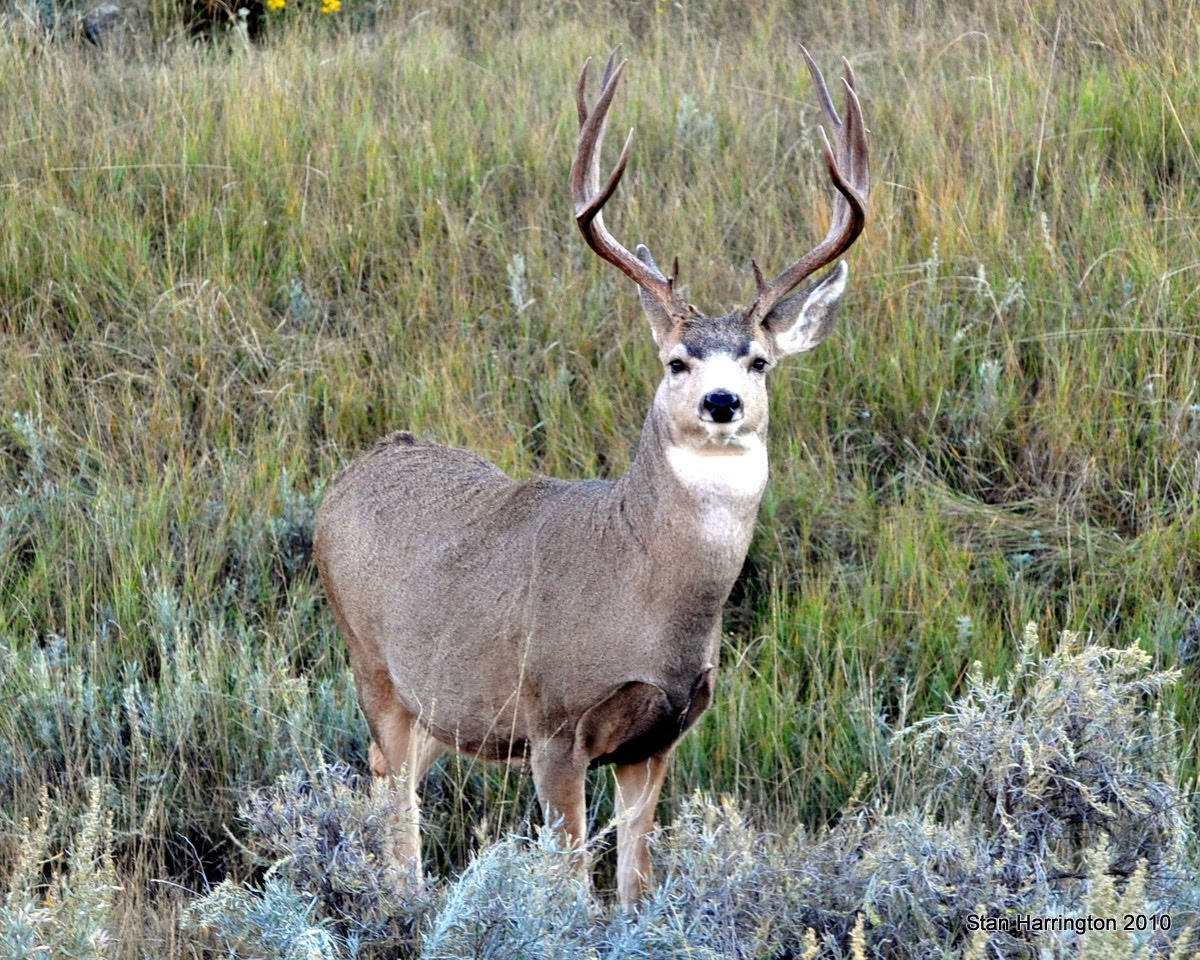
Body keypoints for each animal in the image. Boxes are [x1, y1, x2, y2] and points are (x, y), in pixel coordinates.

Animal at [314, 46, 868, 907]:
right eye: (676, 360)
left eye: (759, 360)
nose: (720, 401)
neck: (648, 594)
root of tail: (353, 471)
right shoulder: (553, 723)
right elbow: (572, 883)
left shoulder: (662, 734)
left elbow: (636, 881)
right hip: (373, 663)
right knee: (394, 792)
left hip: (439, 700)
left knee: (387, 776)